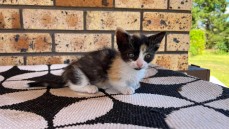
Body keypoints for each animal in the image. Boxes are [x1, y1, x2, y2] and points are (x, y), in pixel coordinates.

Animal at [28, 28, 165, 94]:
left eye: (147, 56)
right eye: (131, 55)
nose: (140, 64)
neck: (132, 70)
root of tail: (65, 74)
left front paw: (135, 84)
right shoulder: (113, 73)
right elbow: (118, 83)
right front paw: (127, 89)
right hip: (77, 72)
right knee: (73, 85)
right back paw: (90, 88)